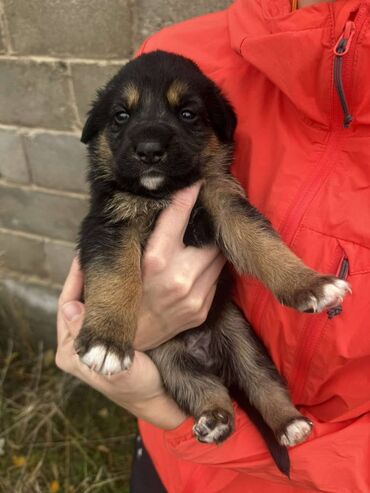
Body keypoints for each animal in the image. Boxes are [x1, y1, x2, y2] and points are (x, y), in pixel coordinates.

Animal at [76, 49, 350, 450]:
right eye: (121, 116)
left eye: (188, 114)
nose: (149, 151)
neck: (162, 193)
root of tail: (203, 350)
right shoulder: (110, 224)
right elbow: (115, 276)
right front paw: (107, 340)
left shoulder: (224, 201)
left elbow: (262, 243)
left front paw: (309, 284)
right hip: (168, 358)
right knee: (202, 388)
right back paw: (215, 419)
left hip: (241, 337)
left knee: (261, 381)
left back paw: (289, 423)